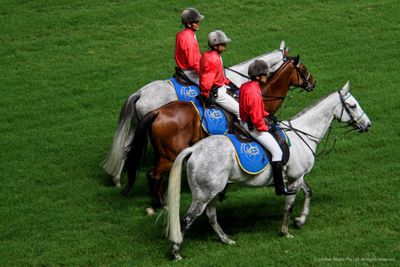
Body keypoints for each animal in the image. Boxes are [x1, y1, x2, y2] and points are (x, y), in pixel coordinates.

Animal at [101, 40, 314, 187]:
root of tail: (140, 93)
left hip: (137, 127)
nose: (313, 83)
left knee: (126, 148)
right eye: (303, 69)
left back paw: (118, 179)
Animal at [166, 81, 372, 260]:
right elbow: (289, 206)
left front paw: (301, 220)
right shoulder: (295, 179)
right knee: (187, 219)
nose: (368, 125)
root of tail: (195, 149)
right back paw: (176, 252)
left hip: (214, 192)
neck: (302, 135)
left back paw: (226, 239)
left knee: (210, 215)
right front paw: (285, 231)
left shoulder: (296, 177)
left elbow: (309, 192)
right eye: (353, 105)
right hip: (204, 194)